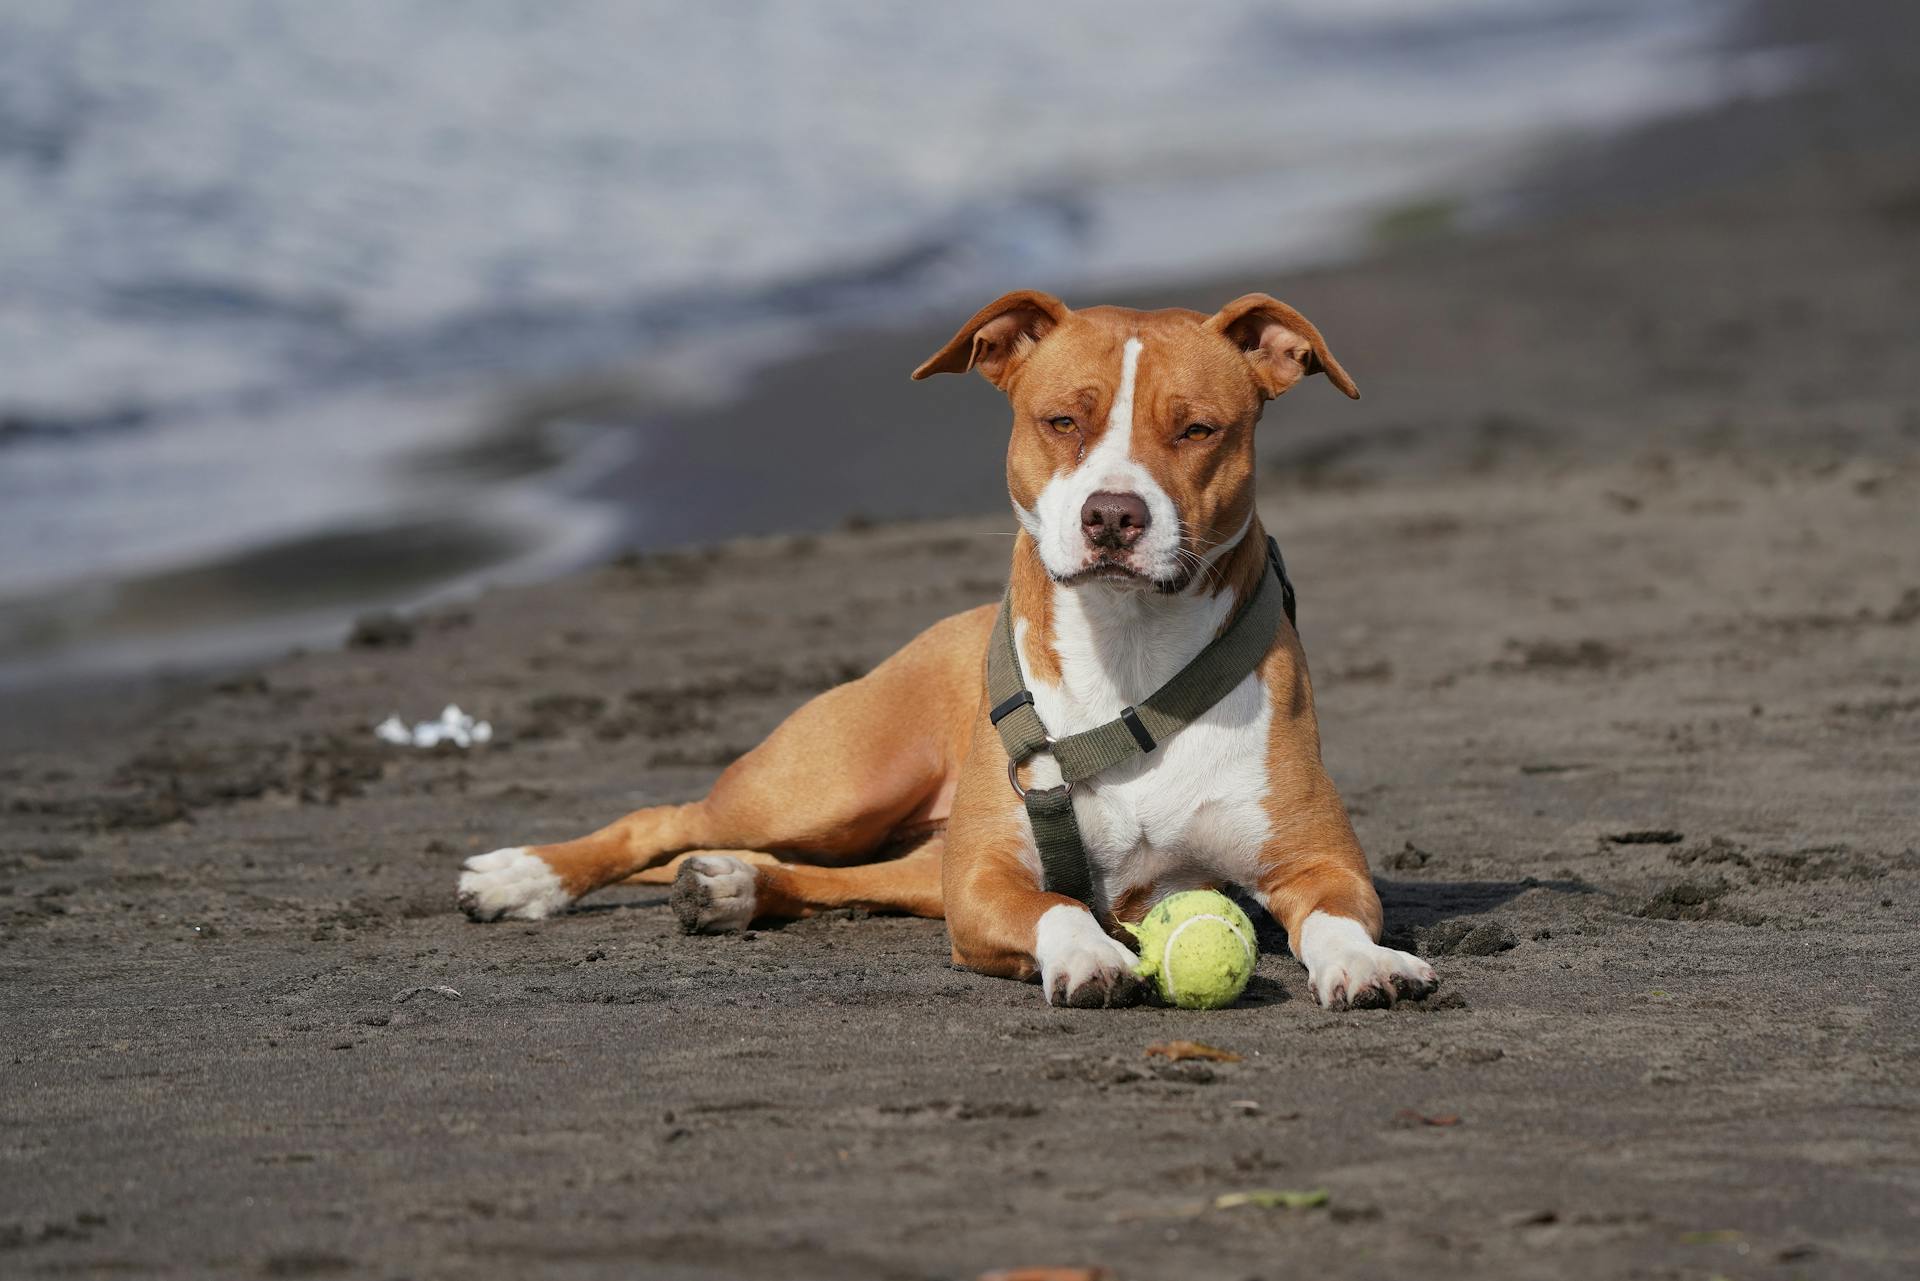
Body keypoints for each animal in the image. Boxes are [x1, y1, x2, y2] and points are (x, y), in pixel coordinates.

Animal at [453, 290, 1443, 1014]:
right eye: (1061, 421)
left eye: (1197, 428)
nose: (1113, 515)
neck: (1129, 655)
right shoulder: (983, 875)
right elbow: (1055, 903)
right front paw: (1087, 954)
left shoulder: (1321, 864)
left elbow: (1337, 917)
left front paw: (1364, 962)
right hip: (833, 787)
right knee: (666, 819)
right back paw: (523, 876)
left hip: (902, 845)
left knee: (824, 873)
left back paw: (732, 886)